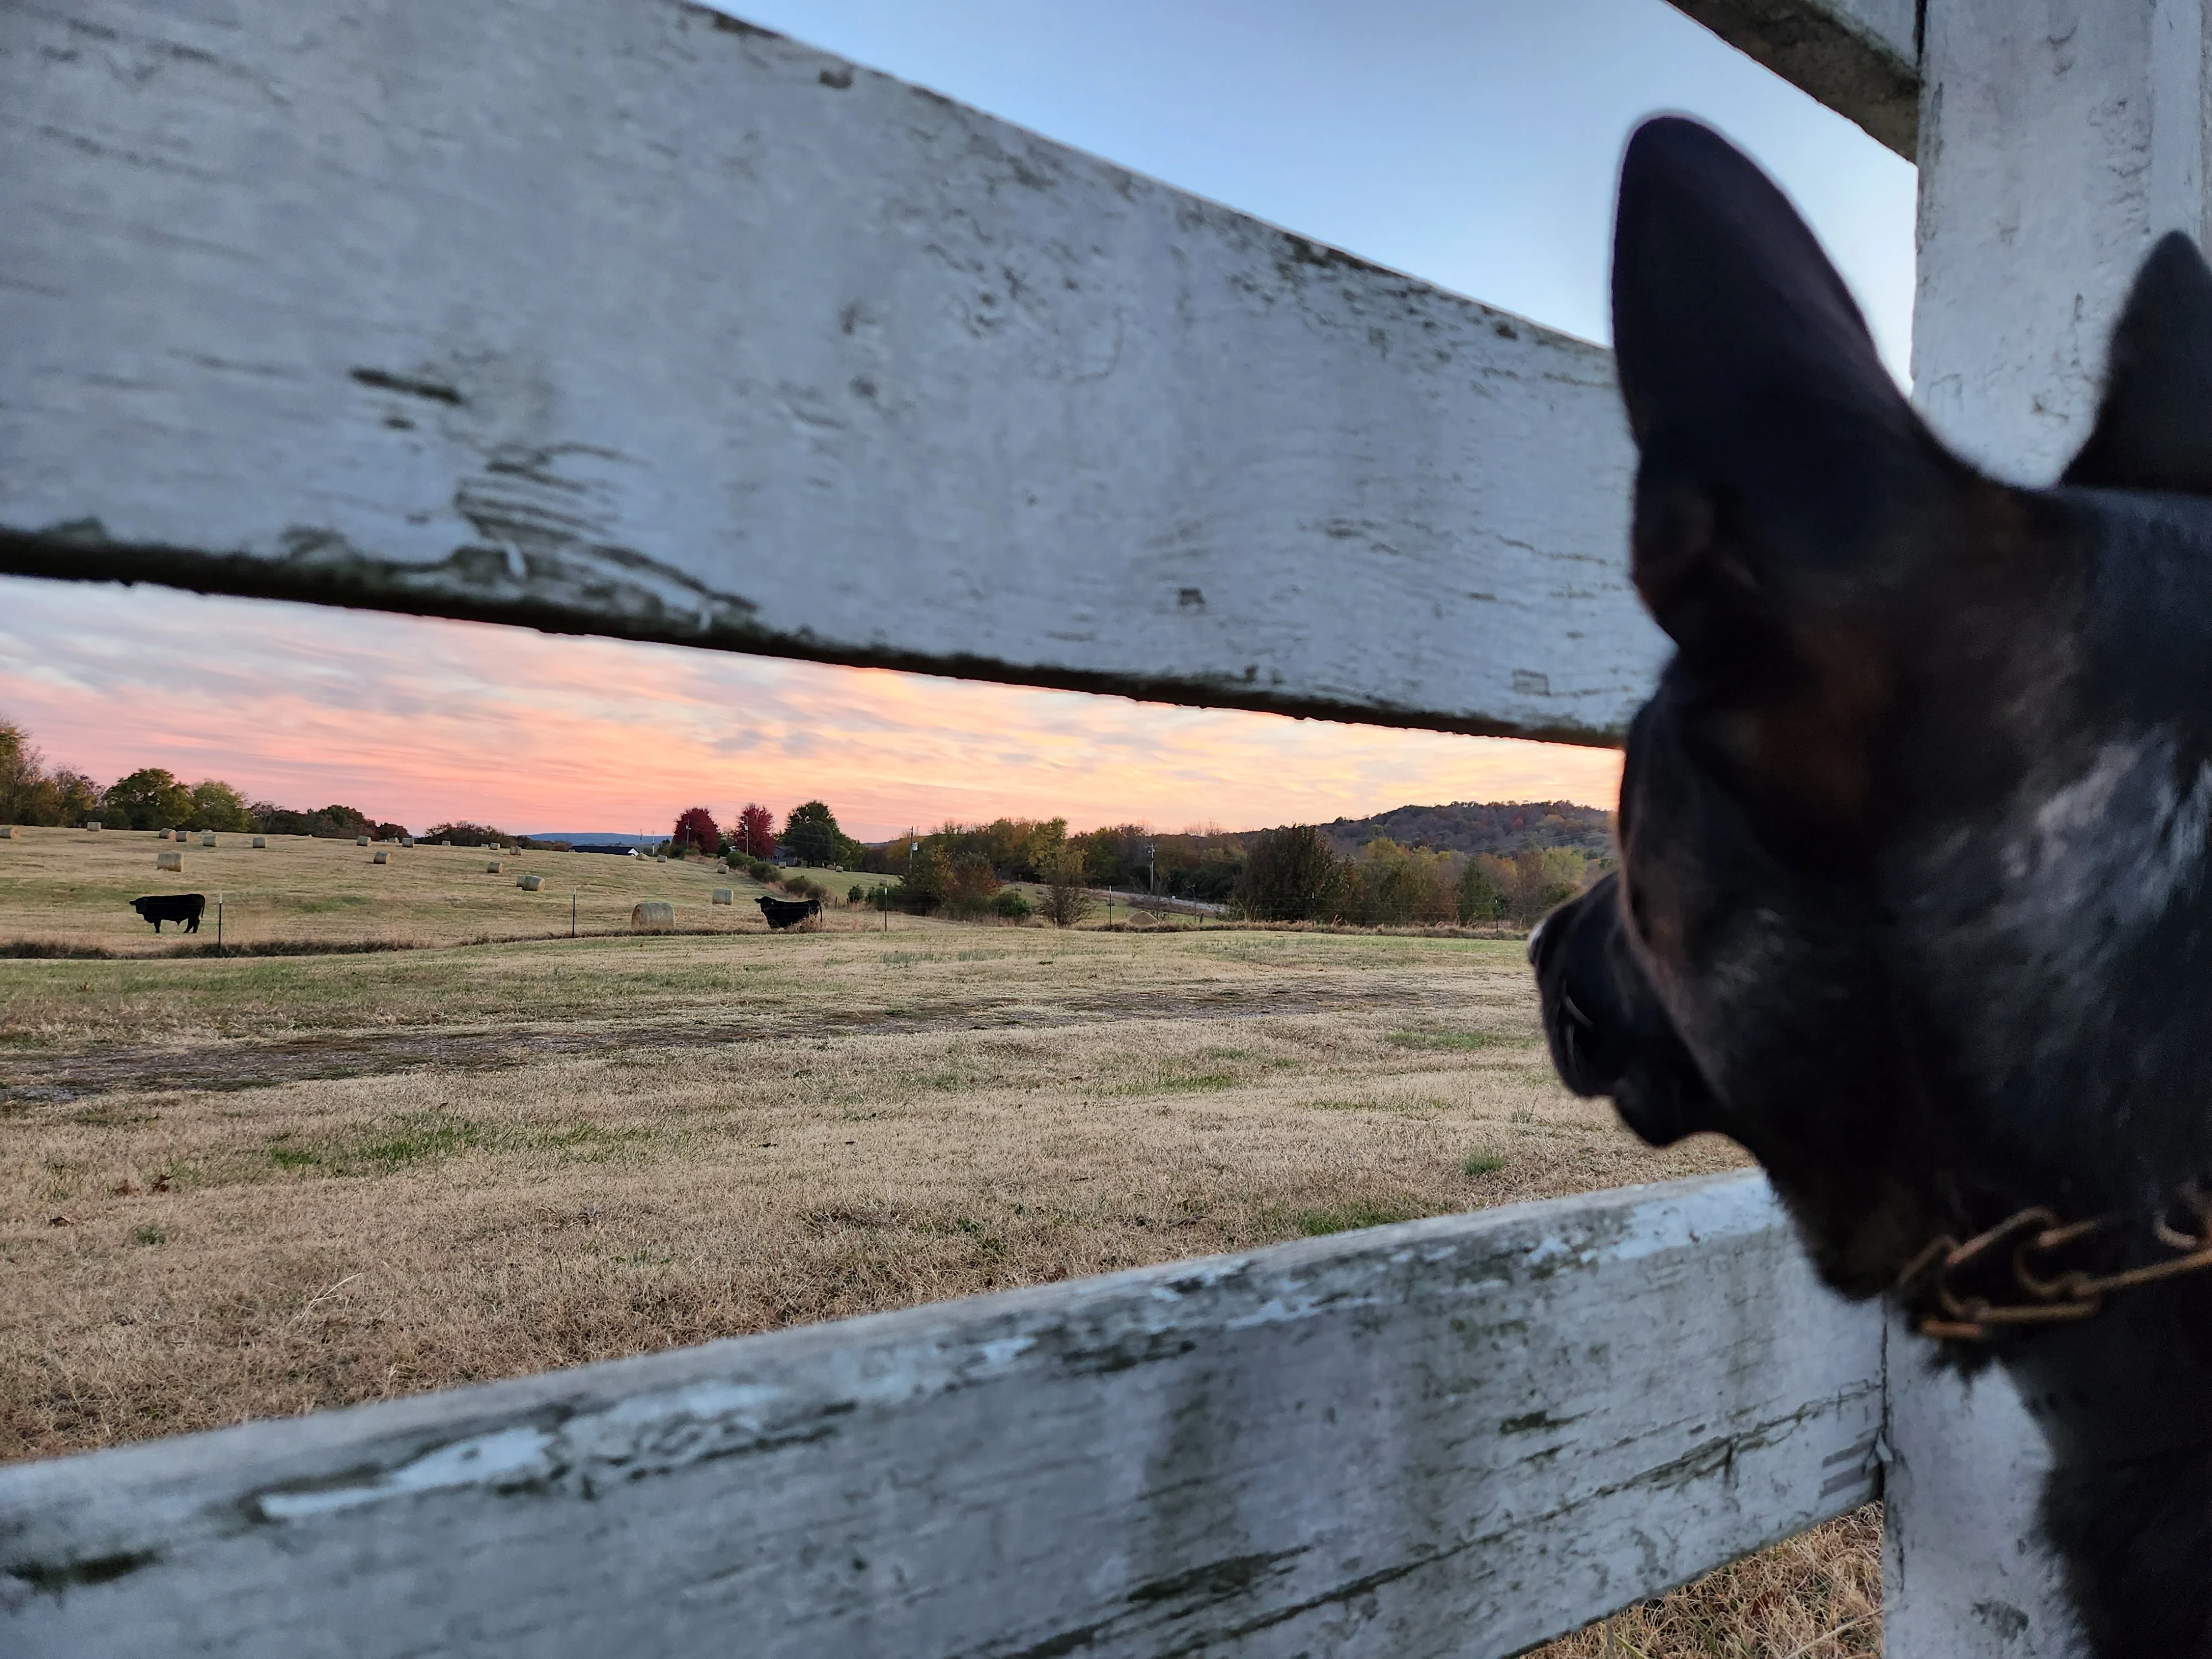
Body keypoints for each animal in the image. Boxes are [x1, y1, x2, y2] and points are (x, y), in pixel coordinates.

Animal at [132, 893, 206, 934]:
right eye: (136, 904)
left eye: (144, 904)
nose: (139, 911)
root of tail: (199, 895)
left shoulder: (157, 918)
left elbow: (157, 925)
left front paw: (157, 932)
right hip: (192, 916)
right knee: (192, 923)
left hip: (193, 916)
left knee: (194, 923)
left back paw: (192, 932)